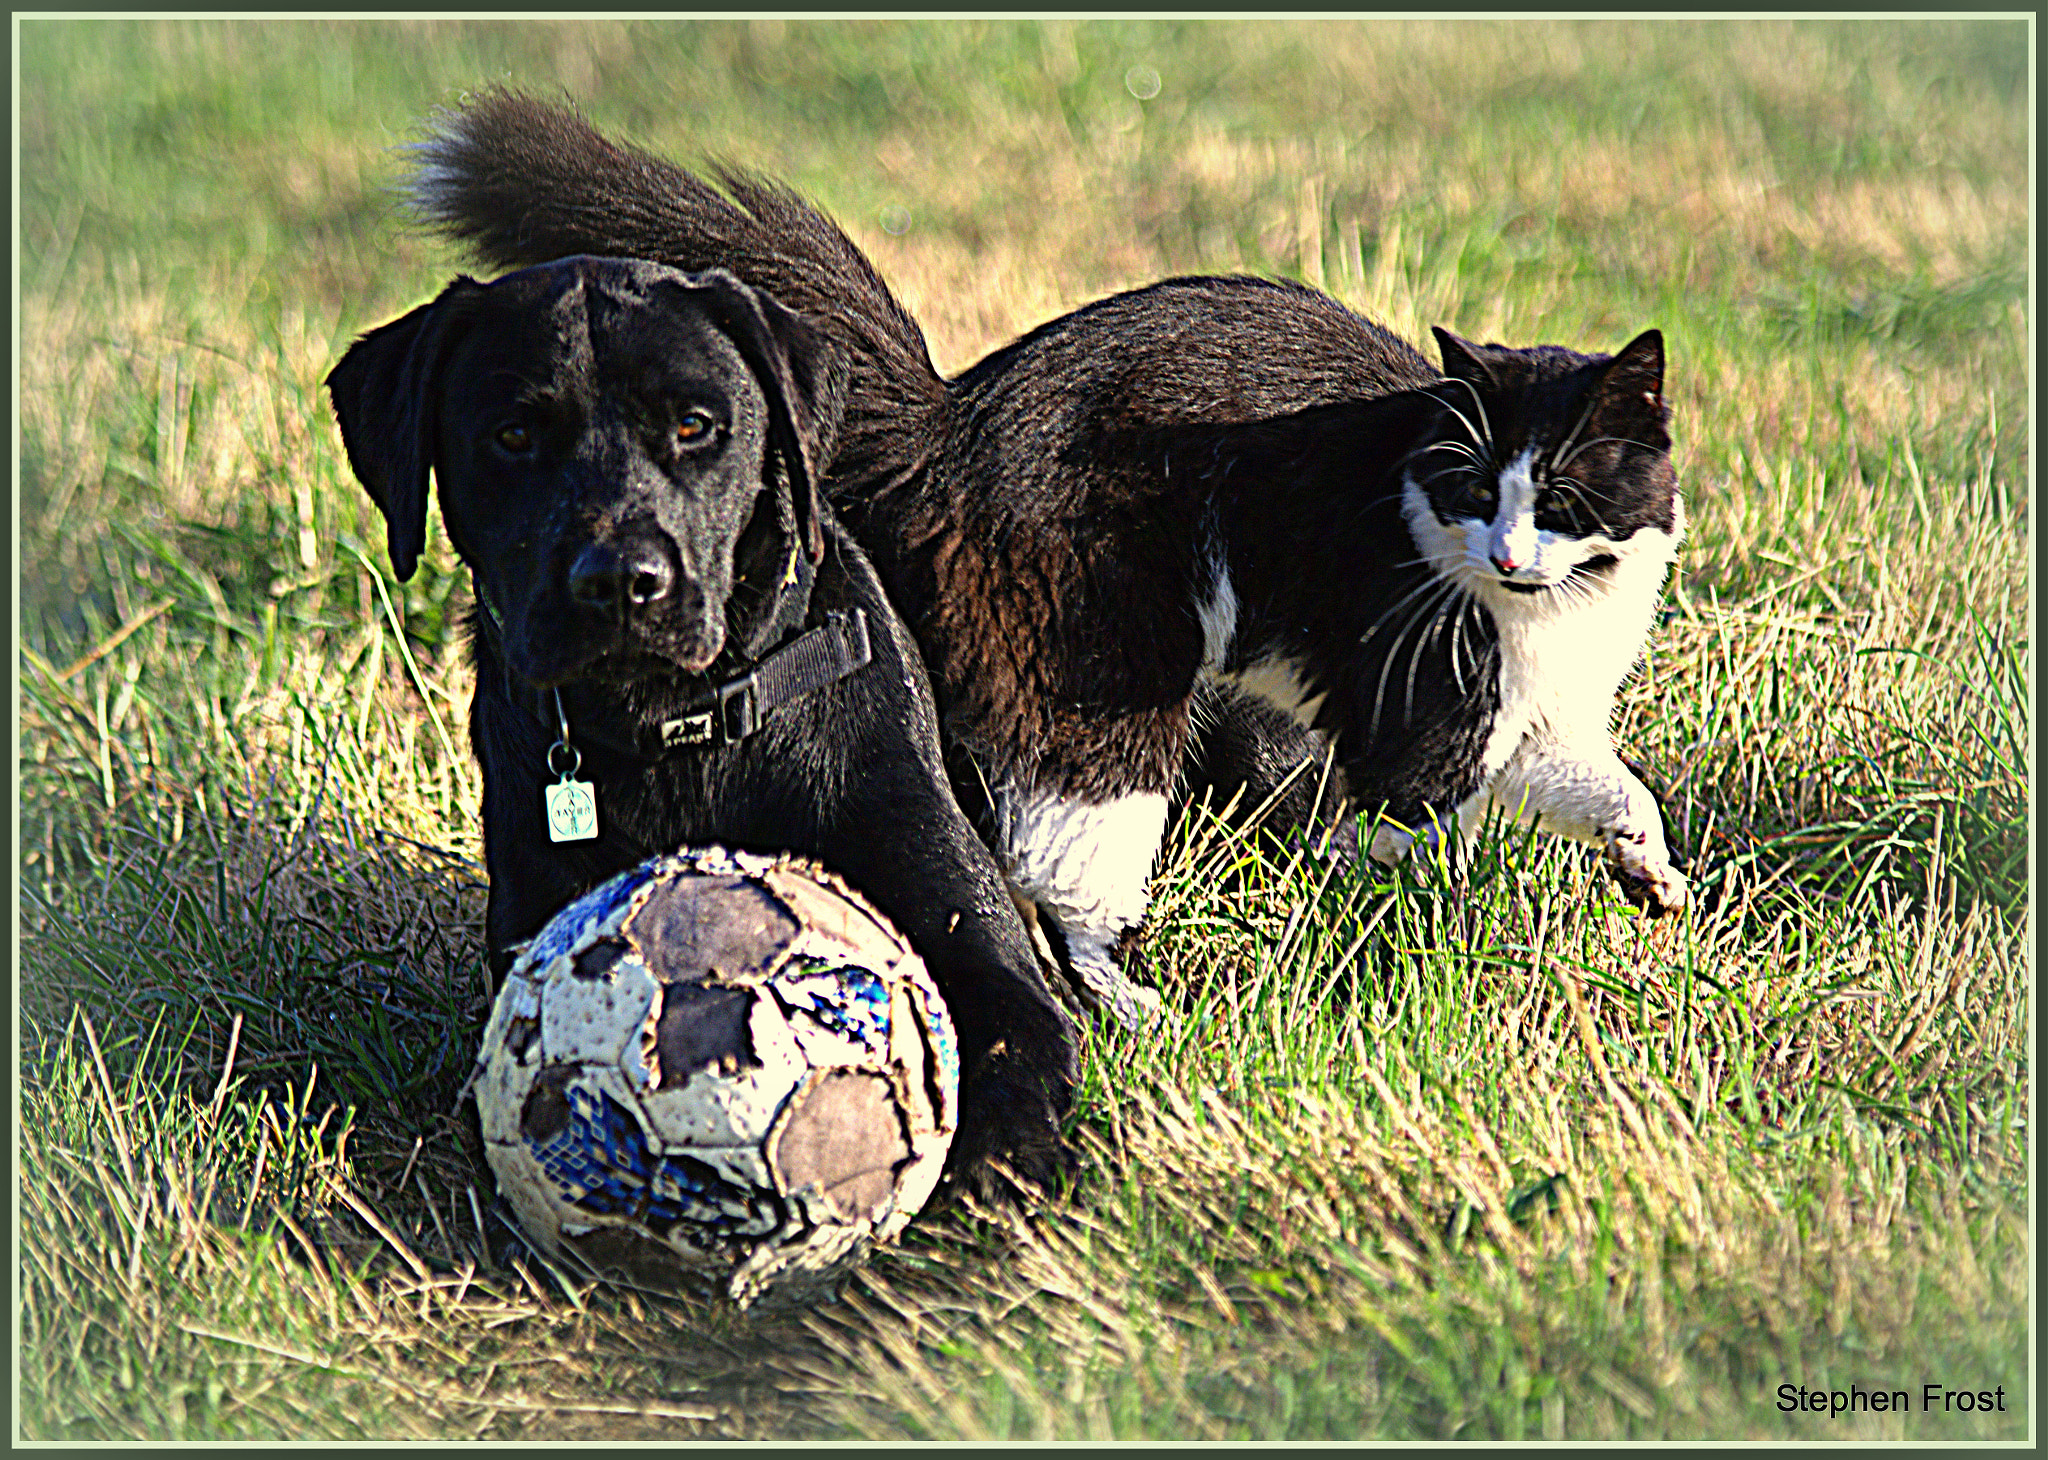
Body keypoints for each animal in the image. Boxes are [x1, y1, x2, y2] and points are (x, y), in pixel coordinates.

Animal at [321, 255, 1081, 1187]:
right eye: (513, 435)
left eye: (694, 425)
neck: (678, 737)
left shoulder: (978, 941)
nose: (619, 580)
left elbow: (1012, 1060)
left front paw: (992, 1178)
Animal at [407, 91, 1687, 1023]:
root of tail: (946, 425)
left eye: (1559, 492)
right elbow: (1418, 799)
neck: (1547, 609)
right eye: (1471, 487)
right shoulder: (1415, 668)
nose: (1508, 556)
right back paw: (1134, 1002)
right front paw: (1385, 900)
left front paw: (1649, 871)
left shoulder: (1545, 693)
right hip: (1094, 656)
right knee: (1062, 858)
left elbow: (1592, 775)